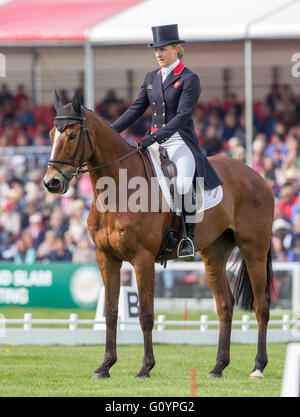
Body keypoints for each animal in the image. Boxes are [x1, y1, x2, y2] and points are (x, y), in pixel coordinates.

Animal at [42, 92, 274, 380]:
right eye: (52, 134)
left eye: (72, 135)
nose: (51, 182)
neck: (118, 190)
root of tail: (258, 177)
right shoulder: (106, 257)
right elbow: (111, 312)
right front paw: (105, 366)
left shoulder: (142, 259)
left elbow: (145, 314)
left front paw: (145, 367)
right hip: (214, 254)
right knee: (225, 305)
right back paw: (218, 367)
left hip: (254, 249)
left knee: (261, 306)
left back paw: (258, 367)